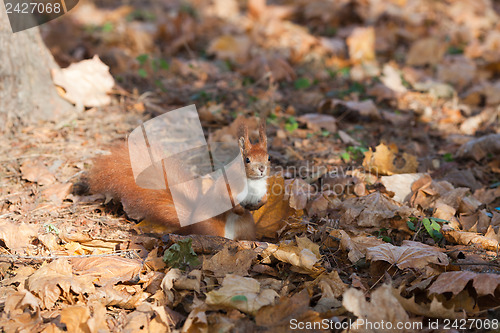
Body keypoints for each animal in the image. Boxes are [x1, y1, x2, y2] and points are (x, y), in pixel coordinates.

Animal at [89, 121, 270, 239]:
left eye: (268, 157)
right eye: (247, 160)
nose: (262, 169)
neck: (253, 182)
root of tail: (190, 223)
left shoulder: (261, 189)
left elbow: (264, 197)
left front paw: (260, 203)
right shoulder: (229, 184)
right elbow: (226, 197)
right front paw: (239, 208)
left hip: (246, 228)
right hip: (211, 227)